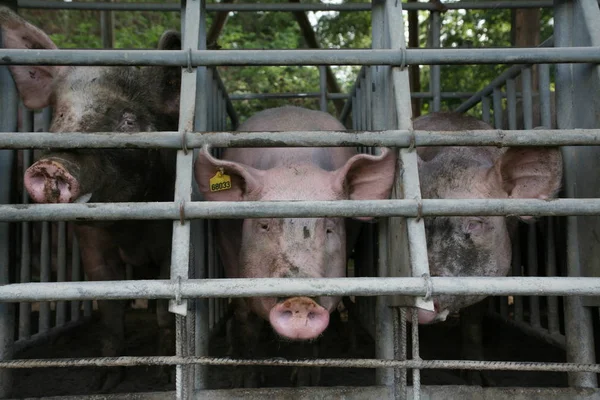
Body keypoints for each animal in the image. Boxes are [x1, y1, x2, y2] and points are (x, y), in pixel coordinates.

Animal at [1, 7, 182, 390]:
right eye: (59, 117)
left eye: (128, 121)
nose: (53, 165)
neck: (128, 230)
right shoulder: (90, 243)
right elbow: (109, 308)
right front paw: (104, 382)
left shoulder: (167, 243)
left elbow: (163, 309)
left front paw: (162, 375)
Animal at [195, 104, 396, 386]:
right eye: (264, 225)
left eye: (329, 228)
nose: (300, 298)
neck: (295, 162)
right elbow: (246, 323)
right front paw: (248, 383)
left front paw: (305, 382)